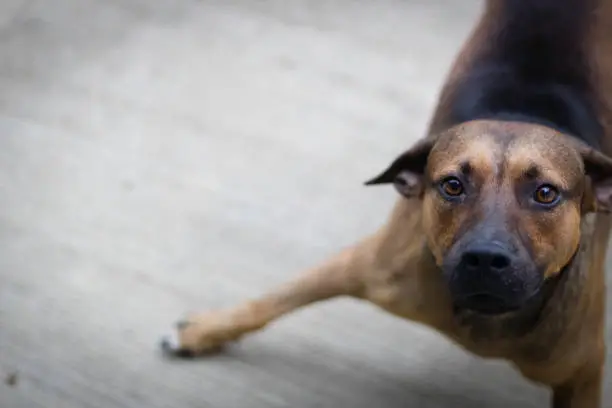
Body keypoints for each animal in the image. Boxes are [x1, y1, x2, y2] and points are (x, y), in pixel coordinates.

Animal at [163, 1, 612, 406]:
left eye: (546, 193)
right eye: (452, 185)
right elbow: (273, 299)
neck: (482, 321)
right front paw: (201, 332)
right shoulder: (364, 265)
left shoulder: (582, 373)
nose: (485, 258)